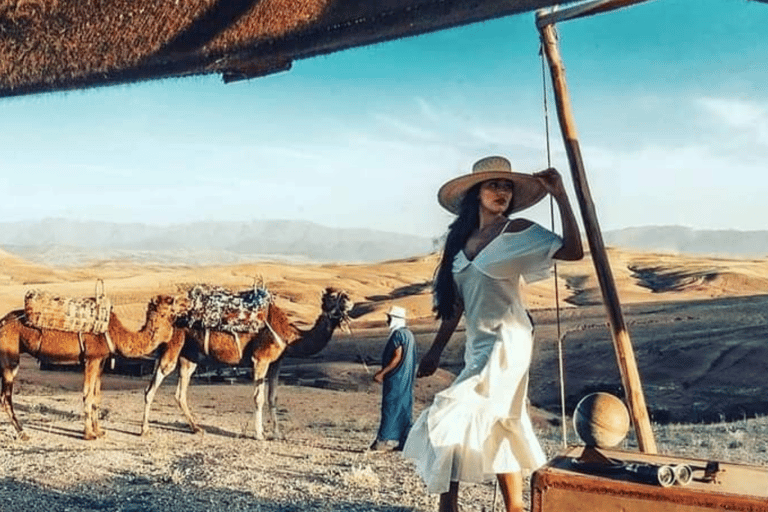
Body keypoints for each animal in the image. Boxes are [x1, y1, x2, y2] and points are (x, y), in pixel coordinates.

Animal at [0, 294, 186, 442]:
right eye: (170, 302)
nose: (184, 304)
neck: (115, 333)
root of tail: (2, 322)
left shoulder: (101, 360)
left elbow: (97, 395)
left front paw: (100, 431)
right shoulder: (92, 358)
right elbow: (87, 394)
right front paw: (89, 434)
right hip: (10, 356)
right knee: (6, 397)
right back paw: (23, 433)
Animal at [140, 288, 352, 440]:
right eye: (335, 297)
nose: (349, 300)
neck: (290, 335)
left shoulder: (277, 362)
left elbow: (273, 397)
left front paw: (278, 434)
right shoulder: (261, 358)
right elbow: (259, 397)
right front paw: (259, 434)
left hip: (189, 353)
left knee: (180, 390)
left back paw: (197, 428)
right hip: (173, 343)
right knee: (153, 384)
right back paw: (144, 429)